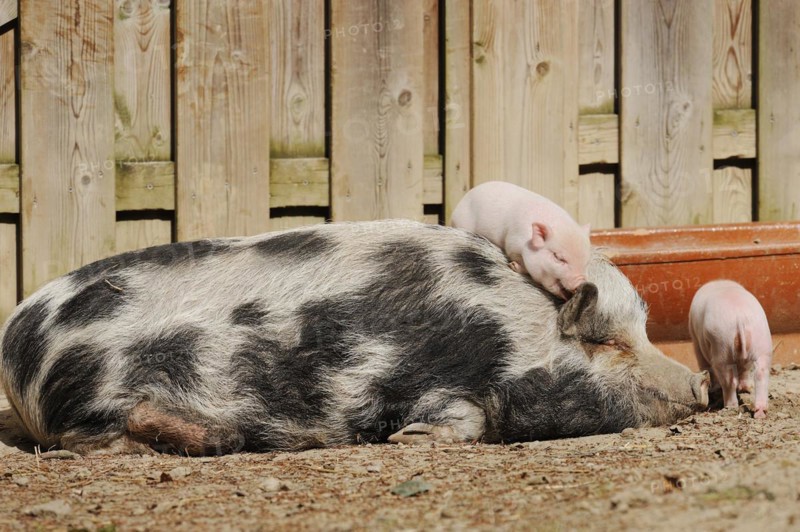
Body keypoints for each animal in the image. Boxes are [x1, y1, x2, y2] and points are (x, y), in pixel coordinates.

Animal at [0, 220, 708, 455]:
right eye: (607, 344)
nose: (702, 382)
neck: (504, 333)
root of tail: (15, 343)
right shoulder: (436, 383)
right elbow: (460, 420)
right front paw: (407, 440)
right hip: (94, 401)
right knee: (89, 443)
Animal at [688, 280, 772, 418]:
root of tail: (740, 317)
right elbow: (744, 369)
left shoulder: (696, 342)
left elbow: (705, 365)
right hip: (762, 342)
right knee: (760, 374)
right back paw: (759, 412)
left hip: (722, 344)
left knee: (729, 380)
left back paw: (729, 407)